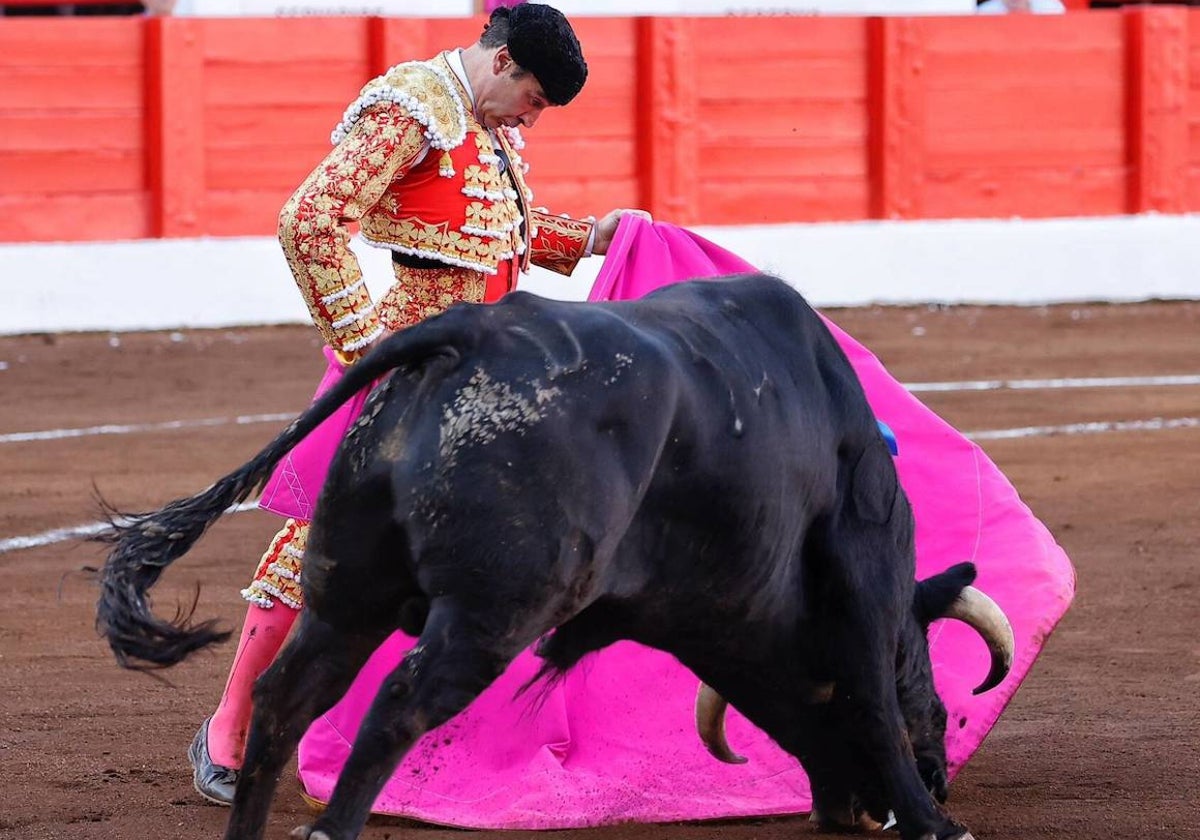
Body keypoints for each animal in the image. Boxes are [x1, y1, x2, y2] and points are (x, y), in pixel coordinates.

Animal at [98, 276, 1012, 840]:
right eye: (928, 675)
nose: (937, 779)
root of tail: (467, 330)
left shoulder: (706, 616)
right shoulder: (864, 568)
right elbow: (869, 693)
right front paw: (935, 823)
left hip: (347, 592)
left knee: (289, 692)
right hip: (492, 611)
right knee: (397, 702)